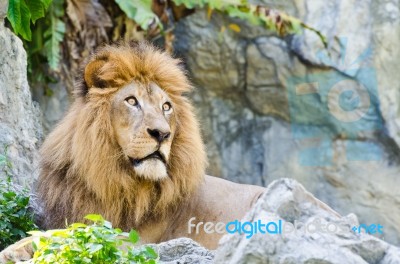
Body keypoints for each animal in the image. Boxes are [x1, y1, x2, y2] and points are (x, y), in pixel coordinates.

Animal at [0, 41, 266, 262]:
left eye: (166, 106)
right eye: (131, 101)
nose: (162, 134)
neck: (110, 179)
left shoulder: (139, 241)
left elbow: (71, 234)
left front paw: (15, 250)